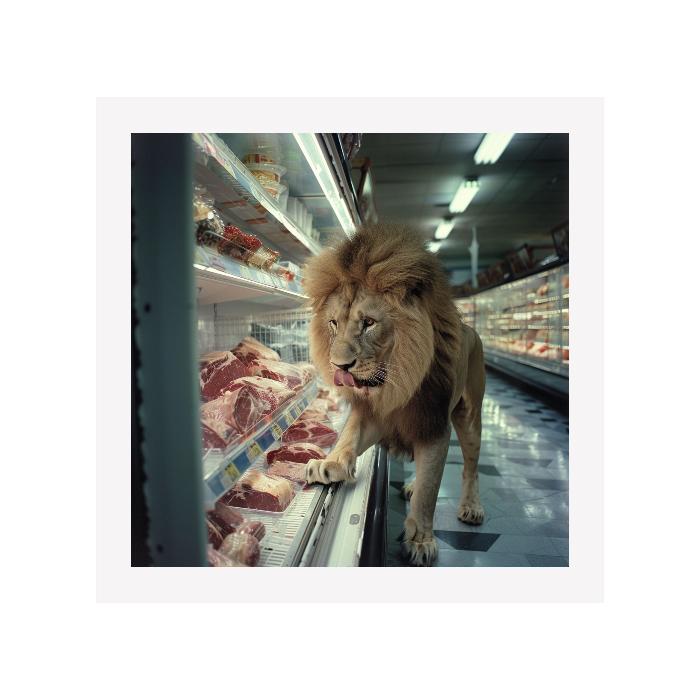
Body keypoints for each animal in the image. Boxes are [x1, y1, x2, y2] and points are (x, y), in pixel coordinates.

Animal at [302, 223, 486, 566]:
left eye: (368, 323)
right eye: (333, 323)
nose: (339, 366)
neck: (396, 384)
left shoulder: (434, 423)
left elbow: (430, 489)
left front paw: (421, 541)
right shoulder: (376, 415)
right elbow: (350, 436)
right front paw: (329, 462)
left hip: (470, 416)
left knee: (470, 466)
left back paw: (471, 506)